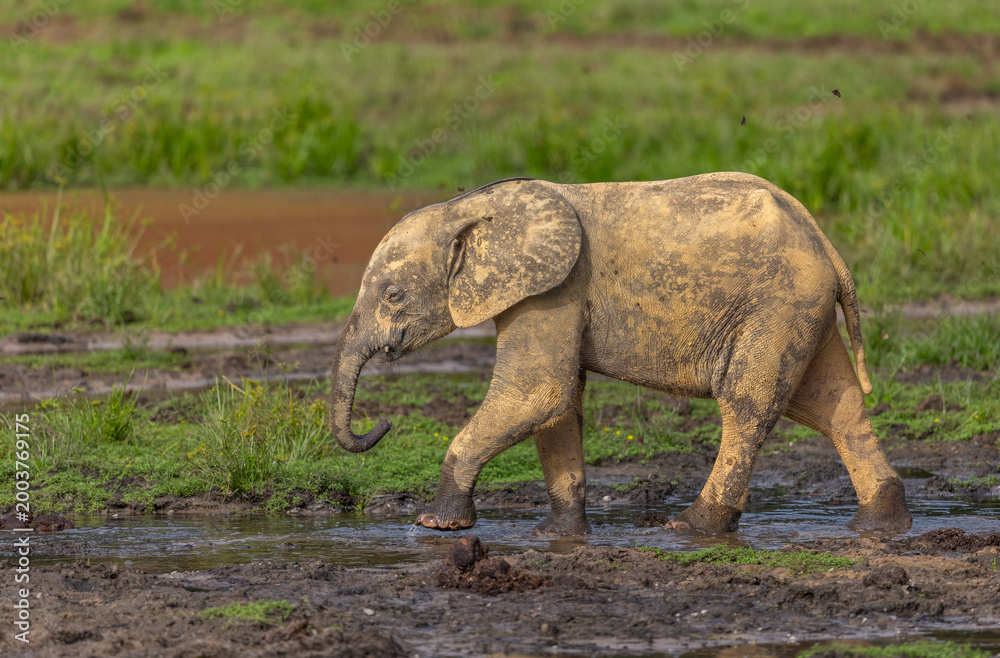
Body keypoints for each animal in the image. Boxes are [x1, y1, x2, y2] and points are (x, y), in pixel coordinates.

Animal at [330, 173, 913, 535]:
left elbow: (537, 392)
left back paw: (693, 527)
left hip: (778, 302)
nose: (382, 424)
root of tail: (826, 243)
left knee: (749, 404)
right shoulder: (549, 293)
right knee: (834, 407)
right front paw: (555, 533)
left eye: (393, 296)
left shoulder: (553, 290)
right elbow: (558, 405)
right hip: (800, 306)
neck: (470, 207)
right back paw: (881, 524)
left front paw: (436, 524)